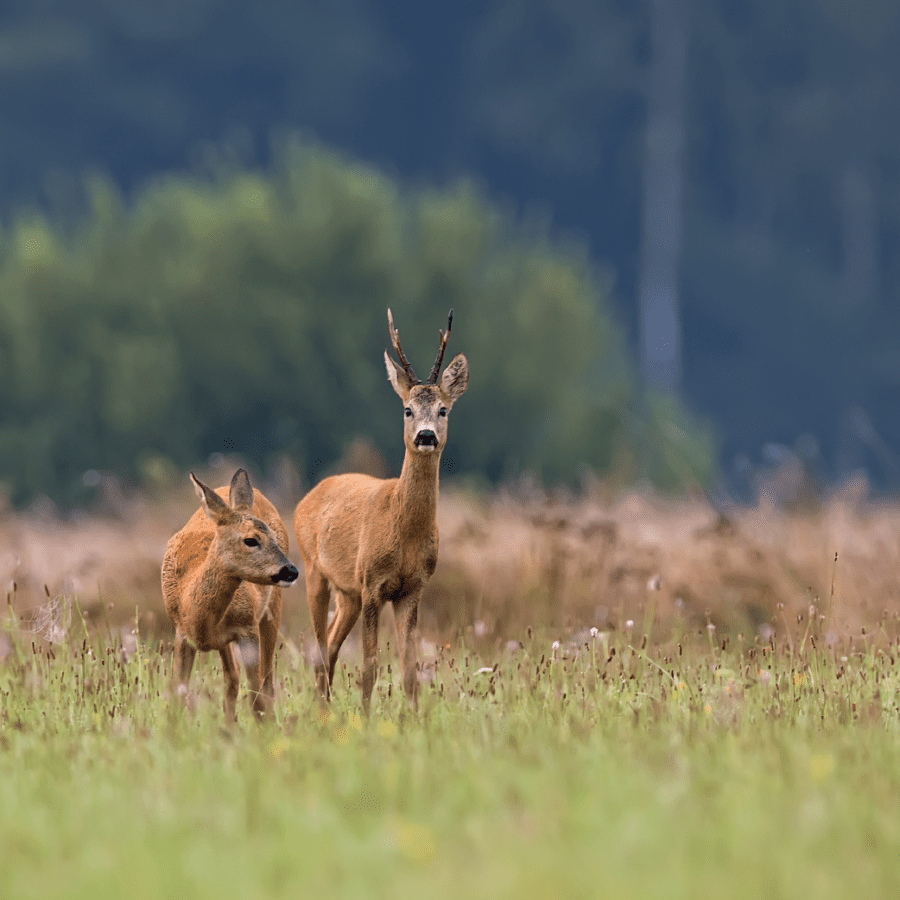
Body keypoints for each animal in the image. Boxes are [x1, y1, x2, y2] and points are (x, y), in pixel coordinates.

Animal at [162, 468, 298, 720]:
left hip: (271, 609)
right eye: (251, 540)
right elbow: (177, 691)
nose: (291, 571)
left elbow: (256, 695)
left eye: (273, 538)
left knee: (266, 681)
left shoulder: (248, 627)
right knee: (233, 679)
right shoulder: (181, 632)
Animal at [294, 306, 468, 712]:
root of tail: (309, 495)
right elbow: (371, 665)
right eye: (407, 409)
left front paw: (413, 719)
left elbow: (409, 669)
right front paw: (367, 717)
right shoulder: (372, 583)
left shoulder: (413, 587)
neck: (403, 531)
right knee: (320, 648)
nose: (426, 436)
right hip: (315, 571)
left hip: (348, 593)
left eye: (443, 409)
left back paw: (325, 707)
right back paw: (322, 712)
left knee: (330, 646)